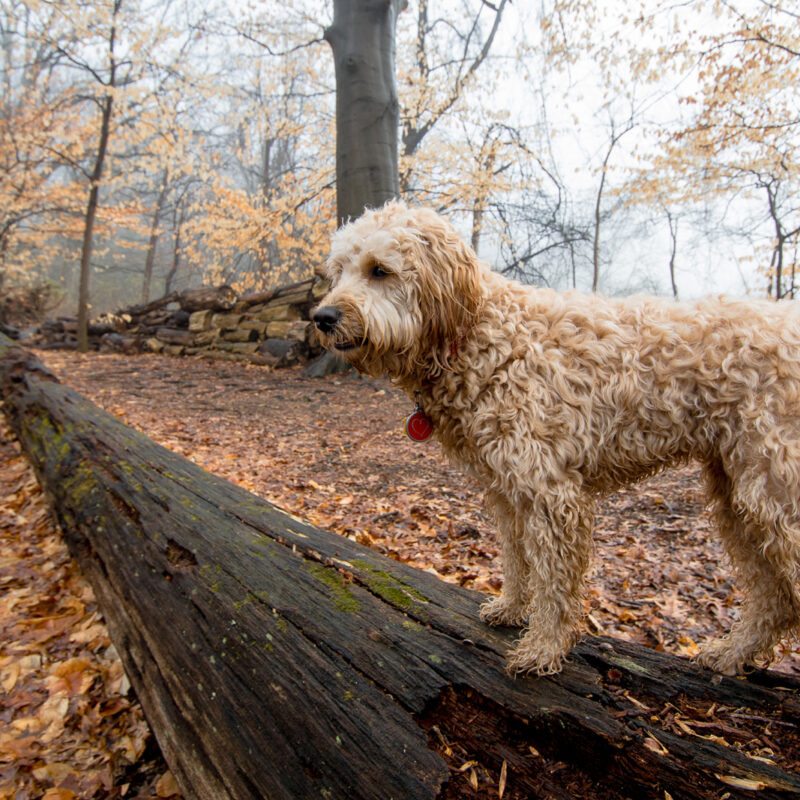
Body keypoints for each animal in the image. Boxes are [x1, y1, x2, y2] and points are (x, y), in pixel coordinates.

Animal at [310, 200, 800, 676]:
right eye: (338, 272)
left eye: (379, 270)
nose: (322, 317)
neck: (485, 339)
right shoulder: (508, 491)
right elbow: (516, 559)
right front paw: (510, 608)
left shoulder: (550, 493)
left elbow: (553, 582)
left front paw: (543, 648)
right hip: (736, 492)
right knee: (775, 598)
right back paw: (733, 652)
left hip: (774, 492)